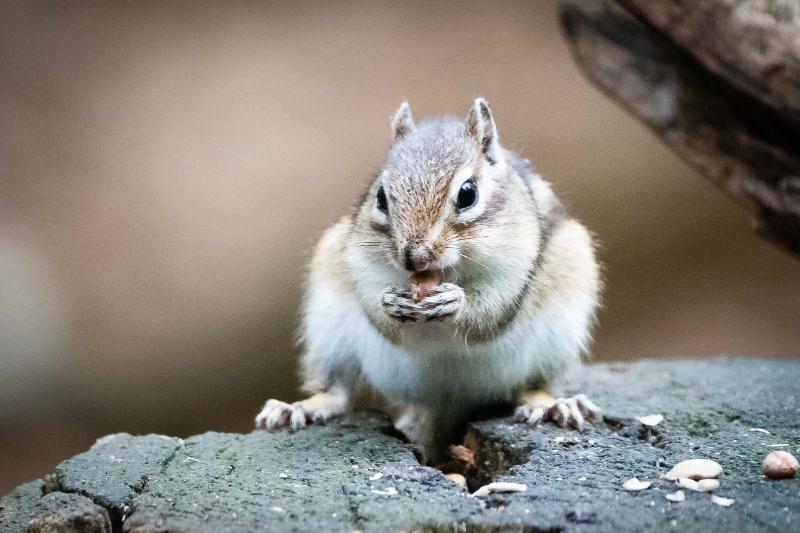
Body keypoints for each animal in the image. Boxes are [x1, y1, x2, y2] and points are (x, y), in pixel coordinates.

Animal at [256, 98, 600, 462]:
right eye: (381, 196)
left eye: (468, 194)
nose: (414, 256)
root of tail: (444, 402)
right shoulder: (356, 259)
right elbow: (377, 309)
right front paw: (390, 302)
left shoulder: (516, 267)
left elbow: (491, 313)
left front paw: (455, 303)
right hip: (328, 330)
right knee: (338, 390)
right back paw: (299, 408)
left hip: (557, 337)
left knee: (530, 386)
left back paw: (552, 405)